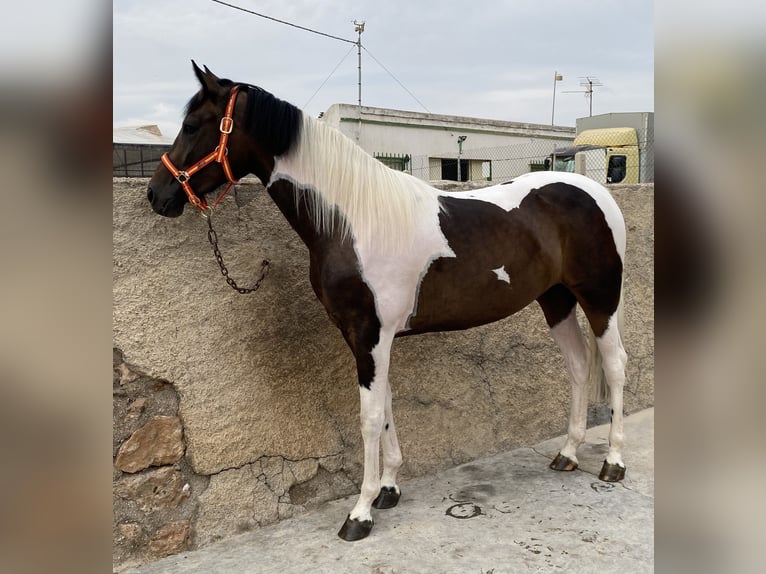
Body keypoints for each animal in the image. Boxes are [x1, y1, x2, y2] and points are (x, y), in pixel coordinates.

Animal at [147, 62, 628, 542]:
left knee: (614, 364)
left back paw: (613, 463)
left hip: (600, 299)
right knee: (578, 365)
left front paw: (359, 513)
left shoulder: (371, 335)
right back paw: (568, 453)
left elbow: (369, 416)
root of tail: (595, 191)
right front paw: (389, 489)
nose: (157, 194)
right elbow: (387, 405)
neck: (353, 220)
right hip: (557, 300)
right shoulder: (367, 338)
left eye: (192, 125)